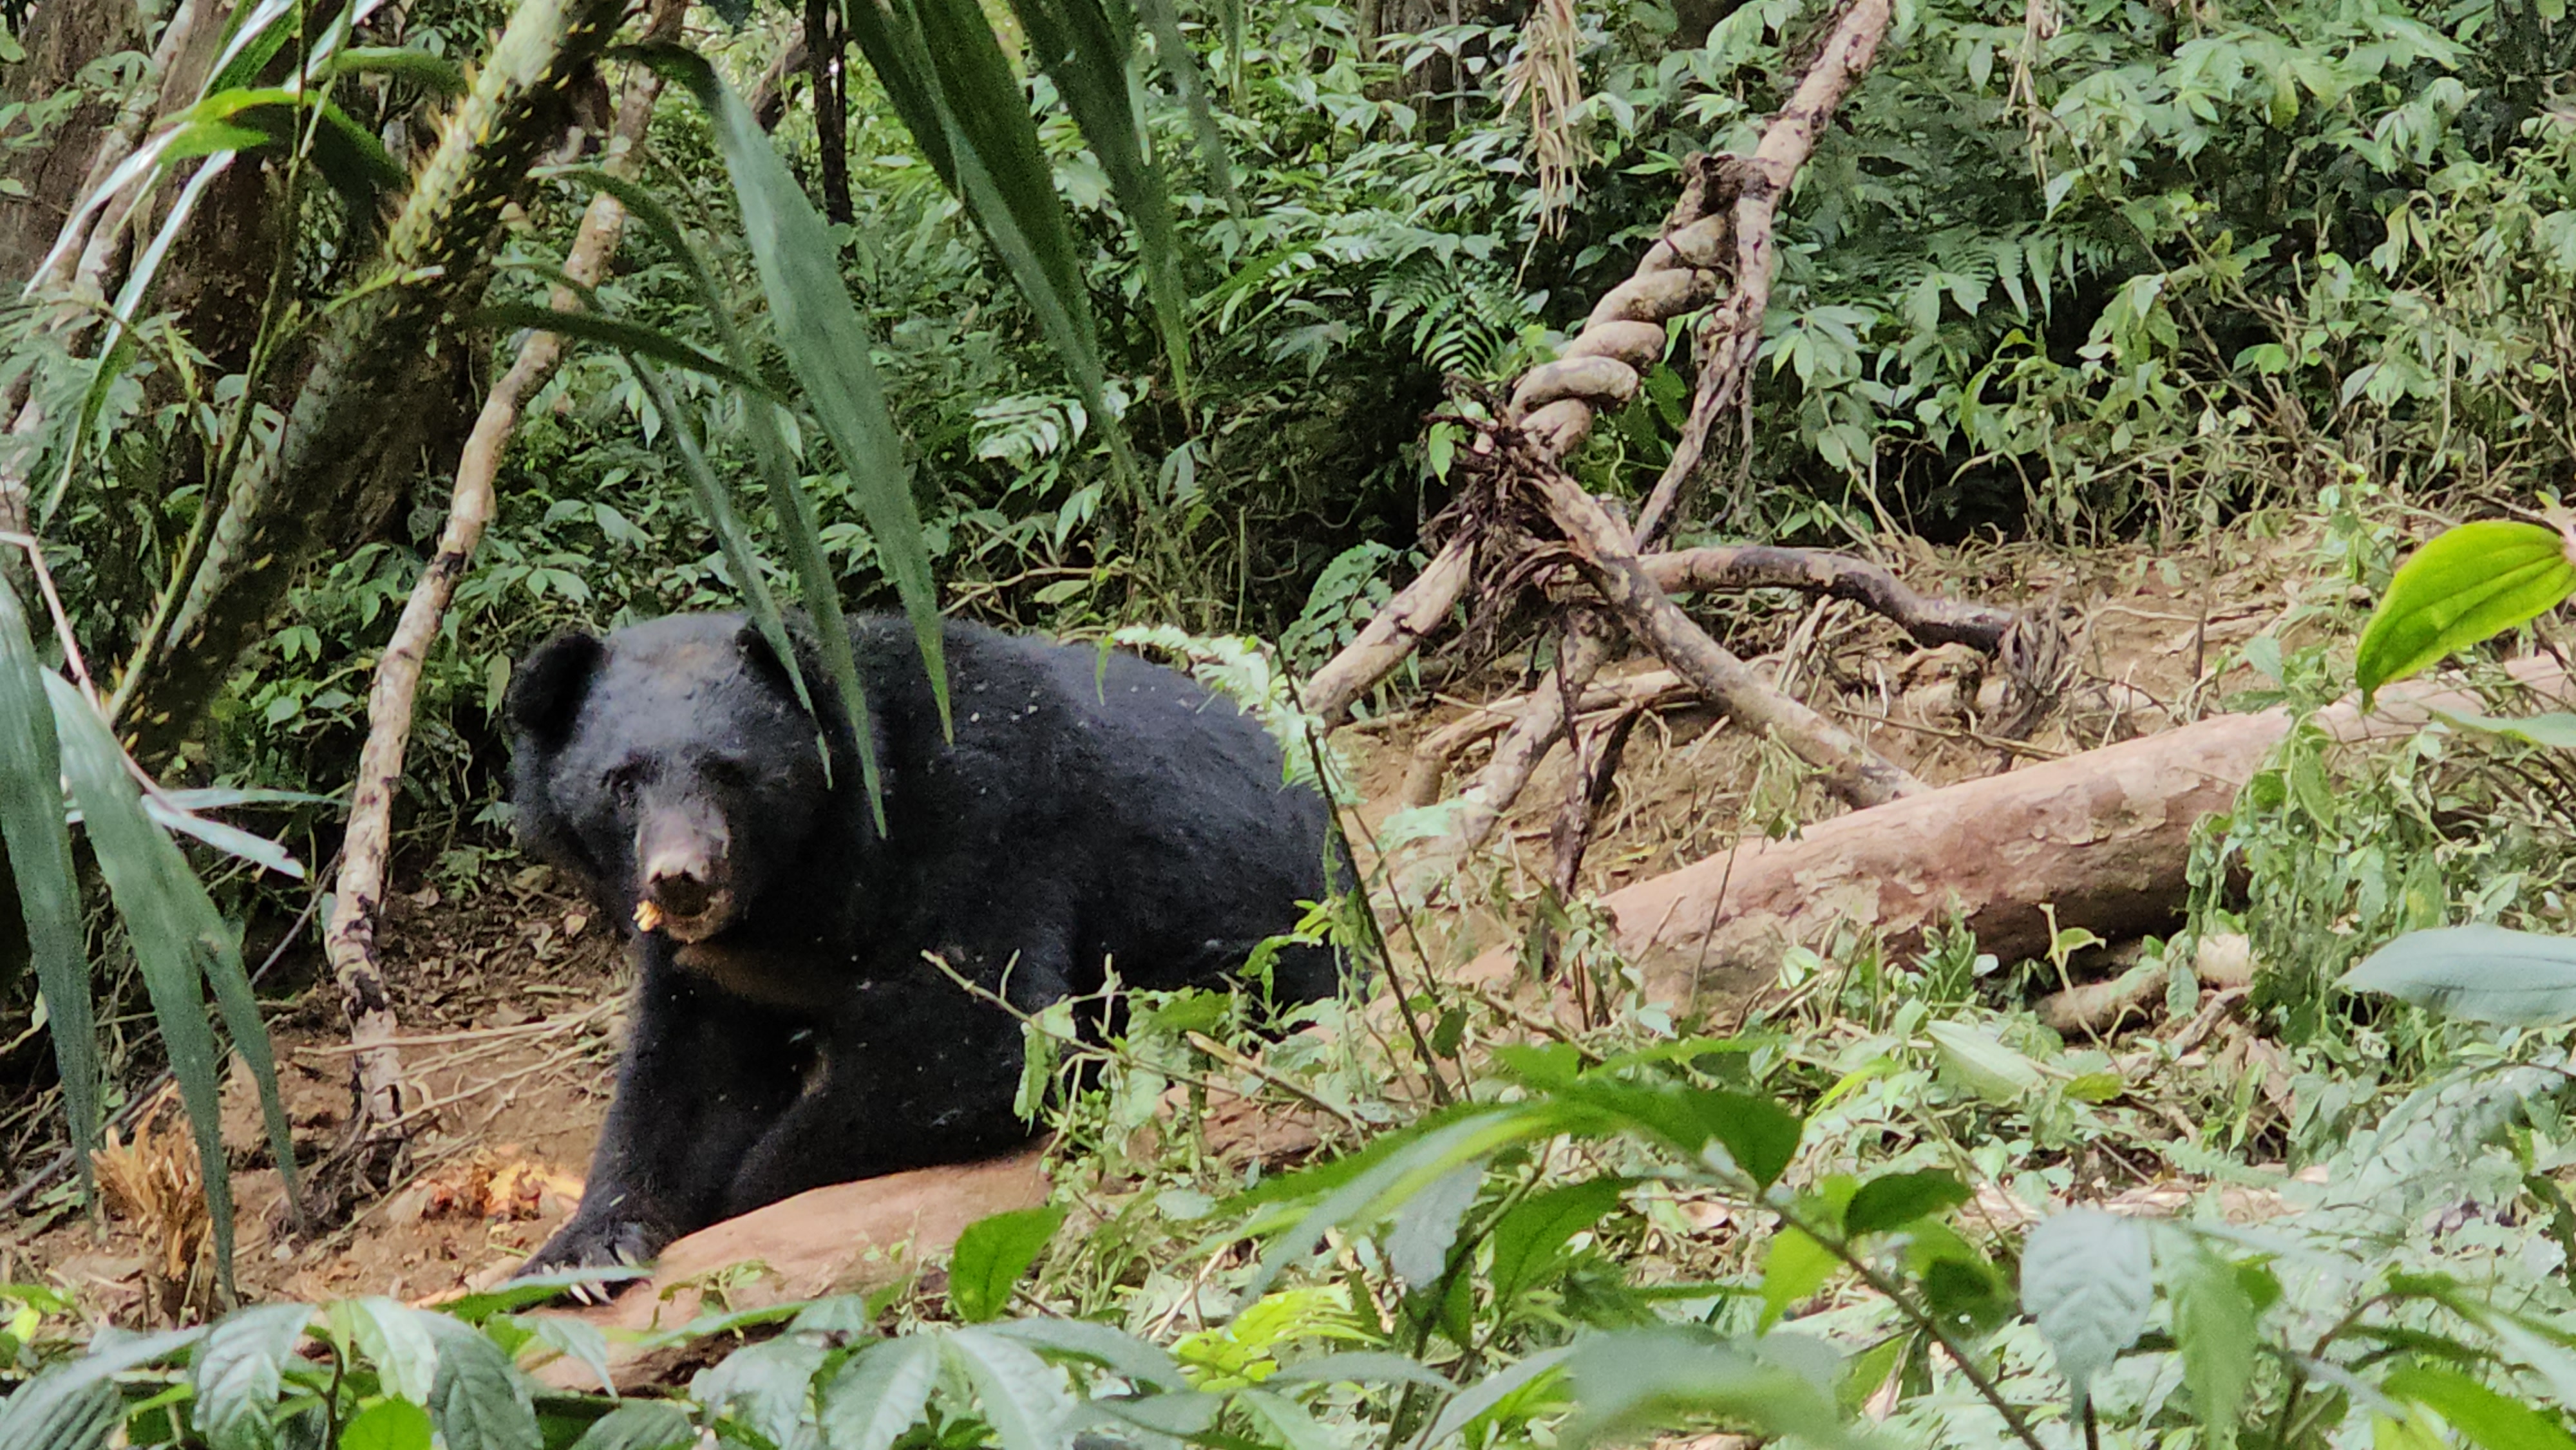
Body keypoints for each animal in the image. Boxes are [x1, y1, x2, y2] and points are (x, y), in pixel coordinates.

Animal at [501, 611, 1345, 1280]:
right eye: (621, 783)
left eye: (731, 771)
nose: (681, 879)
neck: (793, 889)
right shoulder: (709, 969)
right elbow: (688, 1078)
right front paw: (584, 1251)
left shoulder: (981, 827)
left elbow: (977, 1041)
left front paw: (744, 1196)